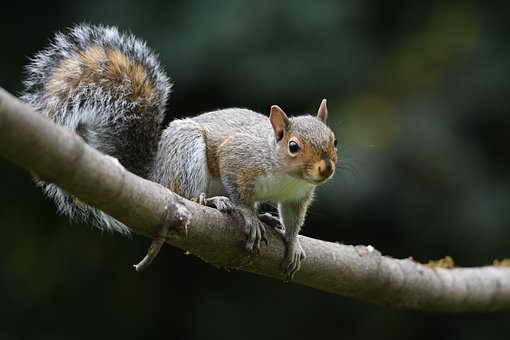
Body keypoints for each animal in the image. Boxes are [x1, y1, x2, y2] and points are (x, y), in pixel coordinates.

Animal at [20, 23, 338, 278]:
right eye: (293, 146)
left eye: (334, 140)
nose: (326, 168)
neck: (286, 174)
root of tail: (154, 177)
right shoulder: (239, 158)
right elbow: (238, 191)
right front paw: (249, 217)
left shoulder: (298, 197)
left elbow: (294, 219)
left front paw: (293, 242)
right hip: (187, 153)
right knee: (188, 196)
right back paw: (216, 203)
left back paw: (265, 217)